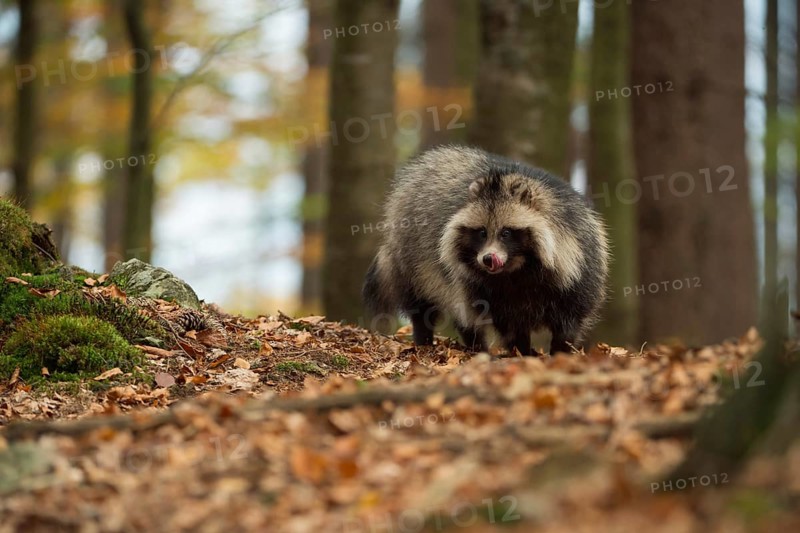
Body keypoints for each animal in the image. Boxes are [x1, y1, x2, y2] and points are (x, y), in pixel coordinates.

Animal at [363, 145, 609, 355]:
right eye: (482, 232)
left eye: (506, 233)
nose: (488, 259)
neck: (519, 270)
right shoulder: (486, 287)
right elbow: (507, 323)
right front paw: (521, 351)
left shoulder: (579, 265)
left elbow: (570, 320)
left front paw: (560, 351)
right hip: (413, 259)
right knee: (434, 306)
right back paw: (440, 340)